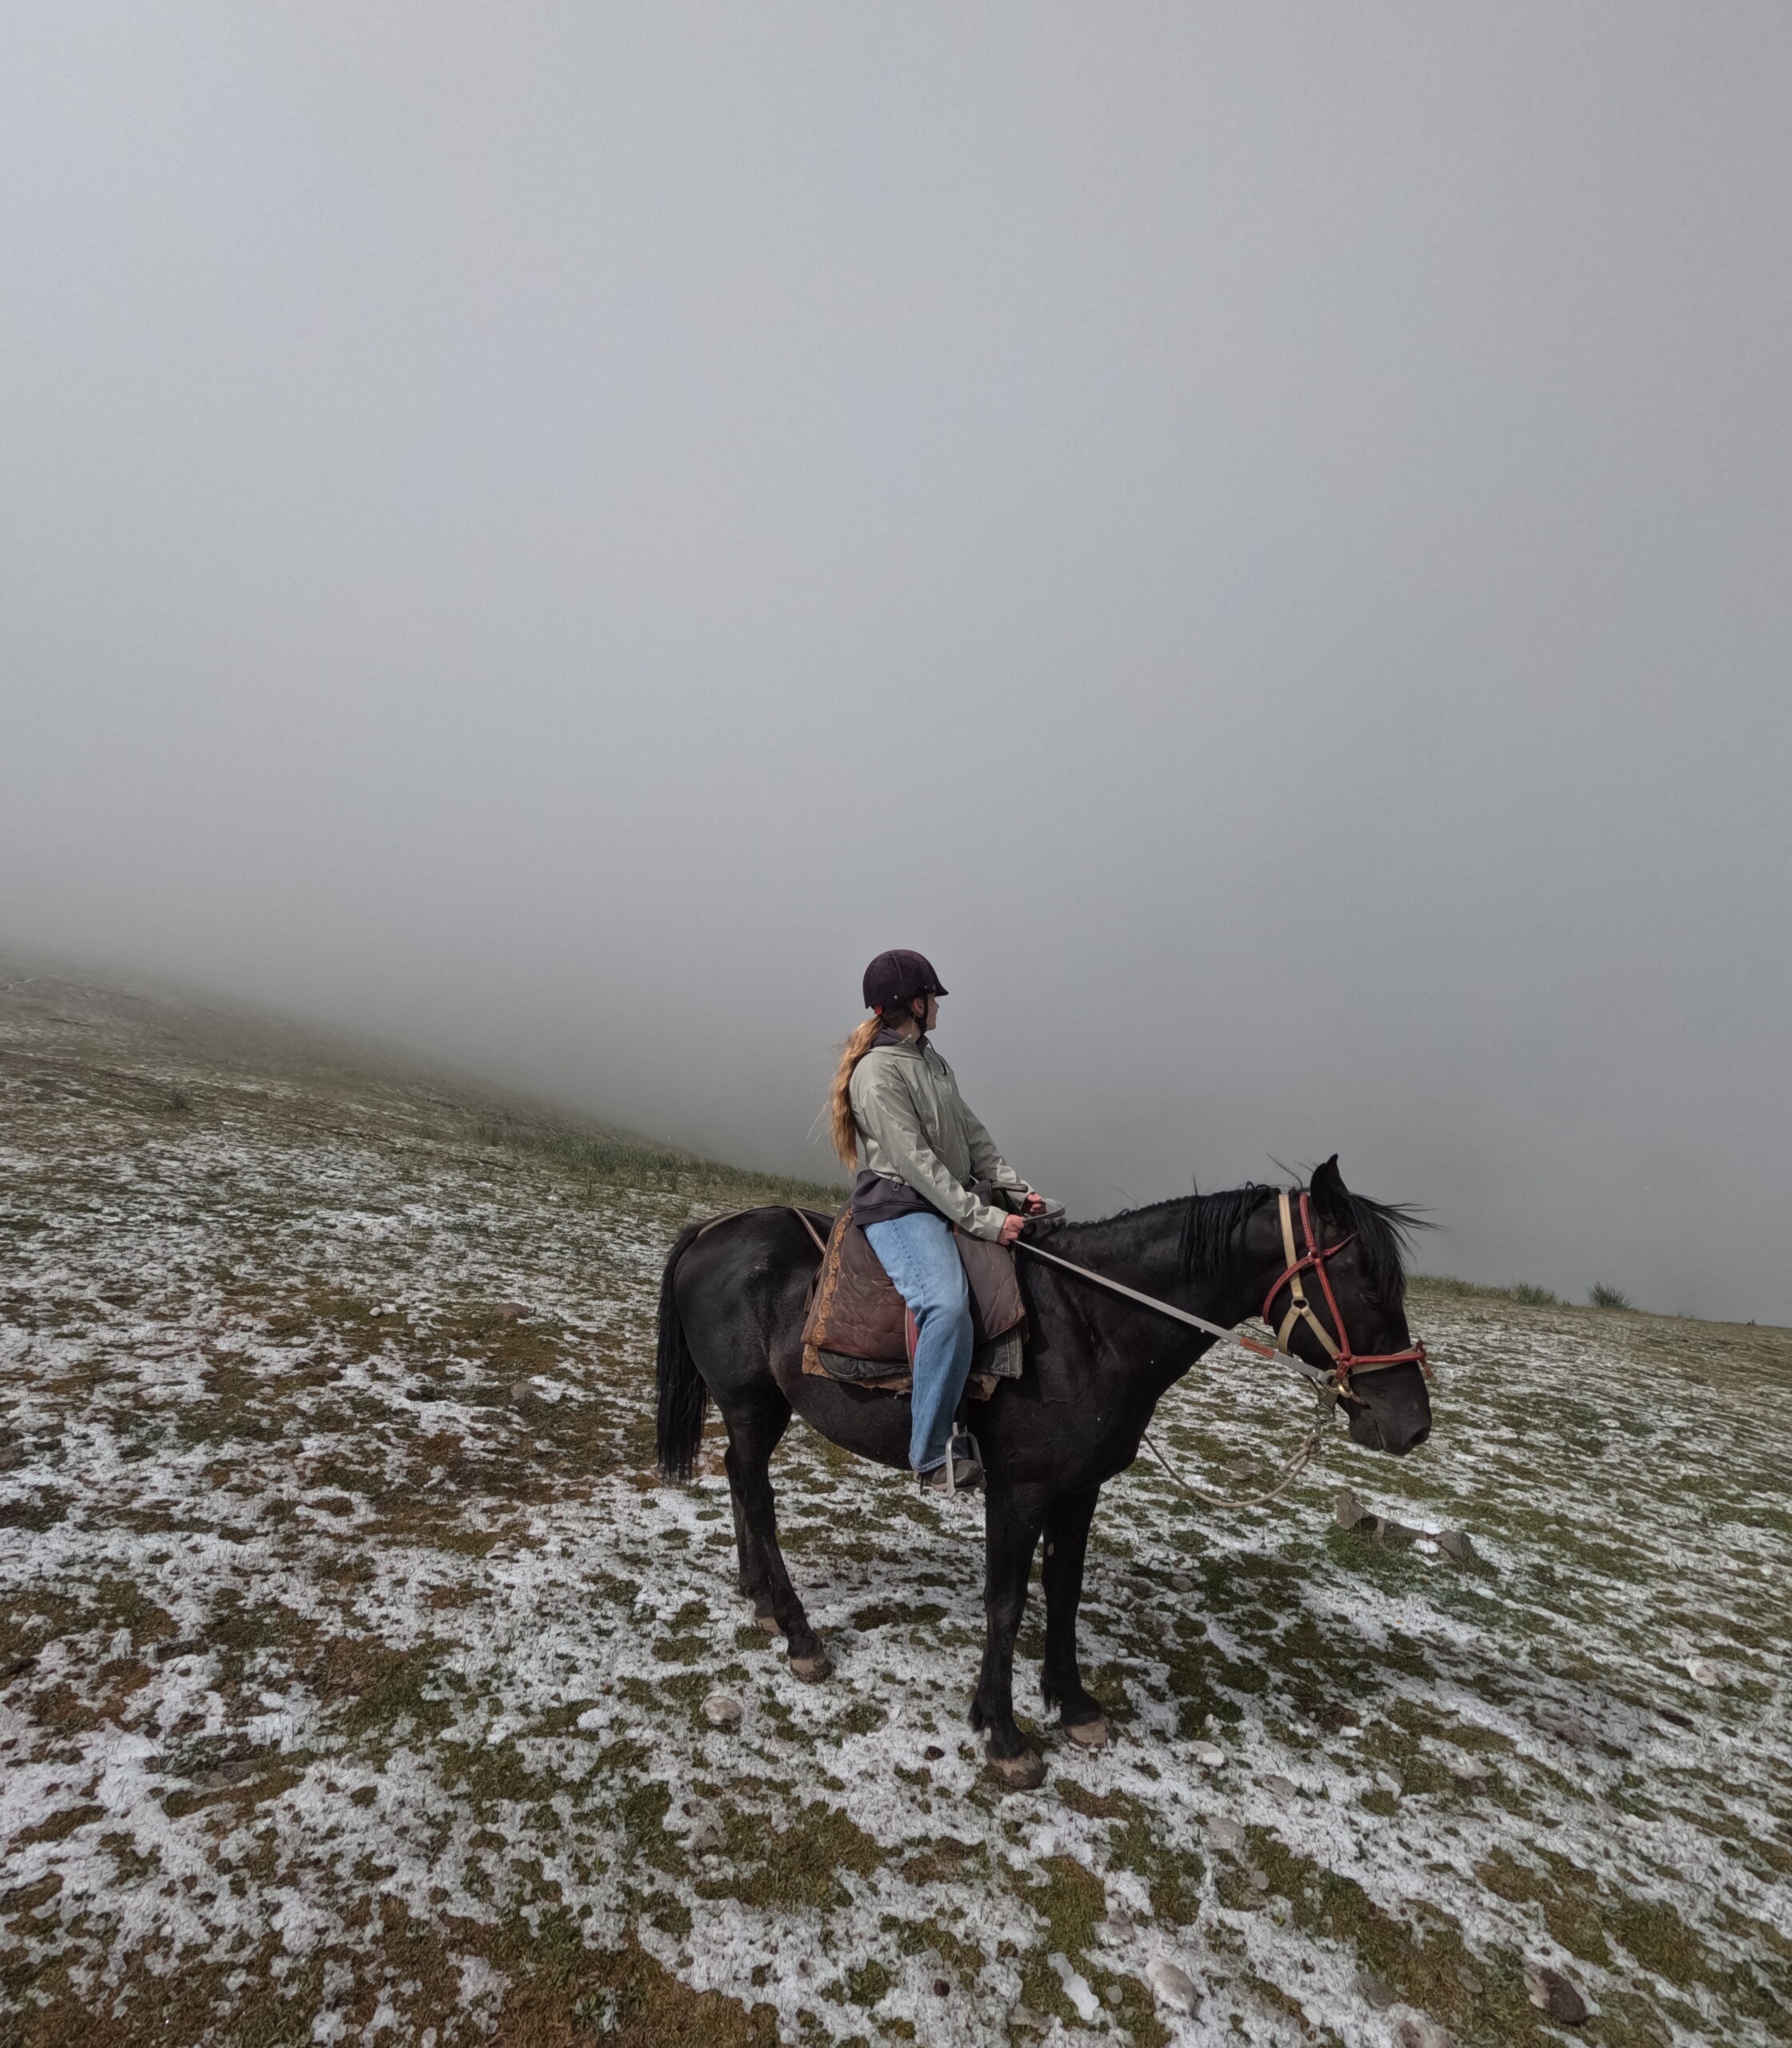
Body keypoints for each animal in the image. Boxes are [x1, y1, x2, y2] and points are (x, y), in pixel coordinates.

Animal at [654, 1154, 1431, 1787]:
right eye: (1368, 1286)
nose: (1413, 1425)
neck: (1092, 1325)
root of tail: (714, 1229)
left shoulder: (1079, 1490)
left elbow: (1064, 1589)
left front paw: (1074, 1703)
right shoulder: (1018, 1494)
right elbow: (1006, 1601)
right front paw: (1003, 1734)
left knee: (739, 1479)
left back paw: (759, 1599)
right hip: (753, 1405)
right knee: (757, 1492)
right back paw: (800, 1635)